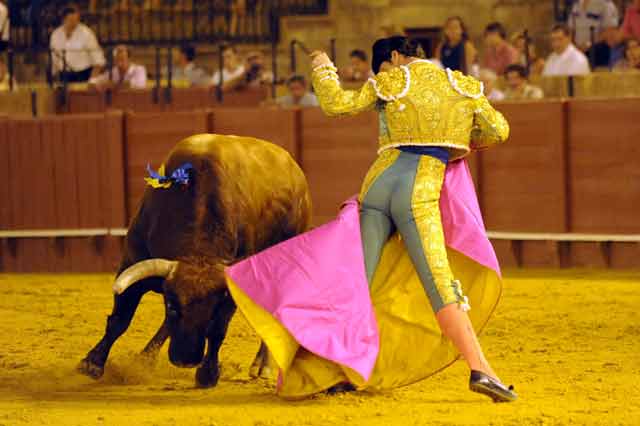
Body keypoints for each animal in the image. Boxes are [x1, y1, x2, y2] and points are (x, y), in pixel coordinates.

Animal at [77, 135, 312, 388]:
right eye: (172, 305)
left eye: (213, 308)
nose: (186, 359)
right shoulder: (132, 263)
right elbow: (120, 320)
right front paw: (92, 363)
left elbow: (218, 330)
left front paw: (208, 374)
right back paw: (145, 358)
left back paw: (262, 366)